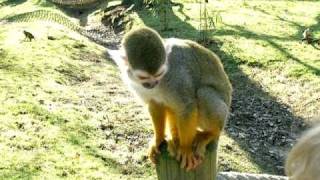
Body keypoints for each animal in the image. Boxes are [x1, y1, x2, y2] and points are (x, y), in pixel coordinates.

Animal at [108, 26, 232, 170]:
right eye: (143, 77)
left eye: (159, 74)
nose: (152, 84)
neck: (161, 81)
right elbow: (155, 105)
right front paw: (158, 140)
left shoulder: (177, 75)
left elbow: (186, 107)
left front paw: (185, 149)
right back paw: (175, 137)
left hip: (221, 115)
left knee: (203, 93)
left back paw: (210, 134)